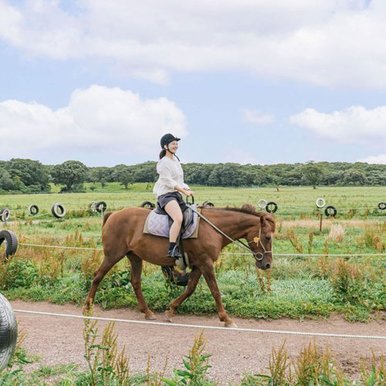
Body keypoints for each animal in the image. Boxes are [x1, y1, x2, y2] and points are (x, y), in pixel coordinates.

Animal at [86, 204, 276, 328]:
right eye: (267, 237)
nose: (267, 264)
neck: (212, 228)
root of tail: (113, 214)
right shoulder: (206, 263)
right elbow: (215, 290)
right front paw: (226, 318)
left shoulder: (199, 265)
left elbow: (190, 289)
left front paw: (171, 310)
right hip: (113, 255)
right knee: (97, 276)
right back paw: (87, 306)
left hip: (135, 257)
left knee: (135, 282)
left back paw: (147, 312)